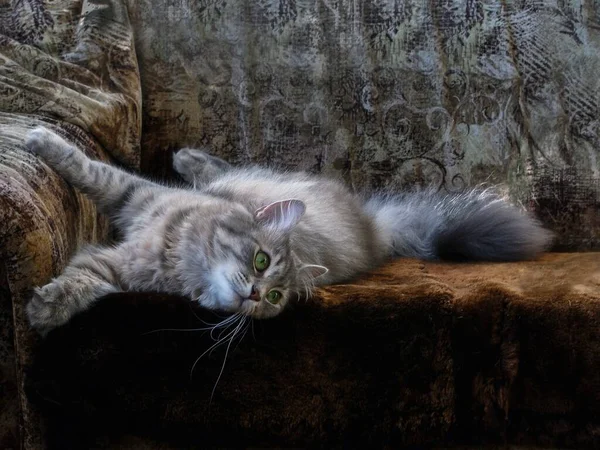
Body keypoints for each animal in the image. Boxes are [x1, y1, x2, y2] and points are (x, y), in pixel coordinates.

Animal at [24, 126, 552, 334]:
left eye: (277, 296)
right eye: (260, 261)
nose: (256, 295)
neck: (179, 253)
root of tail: (373, 227)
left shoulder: (119, 265)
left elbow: (80, 280)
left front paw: (43, 310)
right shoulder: (130, 200)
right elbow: (85, 166)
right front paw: (40, 140)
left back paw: (187, 158)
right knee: (222, 169)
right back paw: (187, 157)